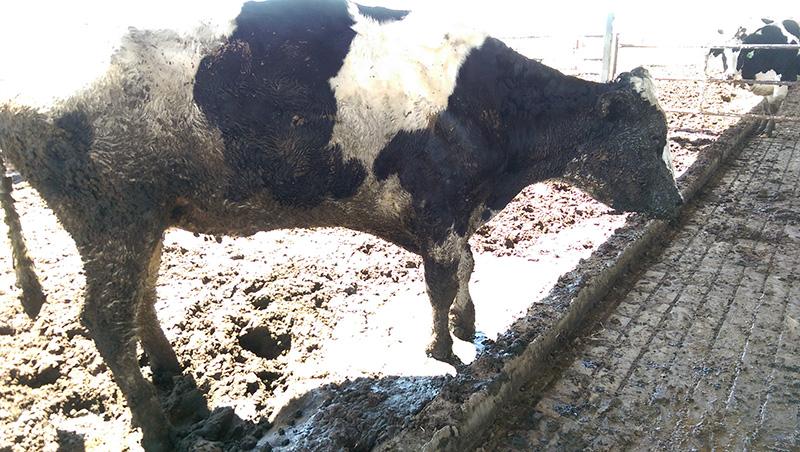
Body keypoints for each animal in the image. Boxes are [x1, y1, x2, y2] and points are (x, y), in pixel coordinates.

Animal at [0, 0, 682, 450]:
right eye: (652, 140)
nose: (676, 204)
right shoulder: (436, 205)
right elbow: (441, 279)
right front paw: (441, 347)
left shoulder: (458, 210)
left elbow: (468, 265)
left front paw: (469, 325)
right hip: (111, 213)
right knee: (105, 322)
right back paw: (162, 429)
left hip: (147, 214)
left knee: (140, 298)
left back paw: (182, 386)